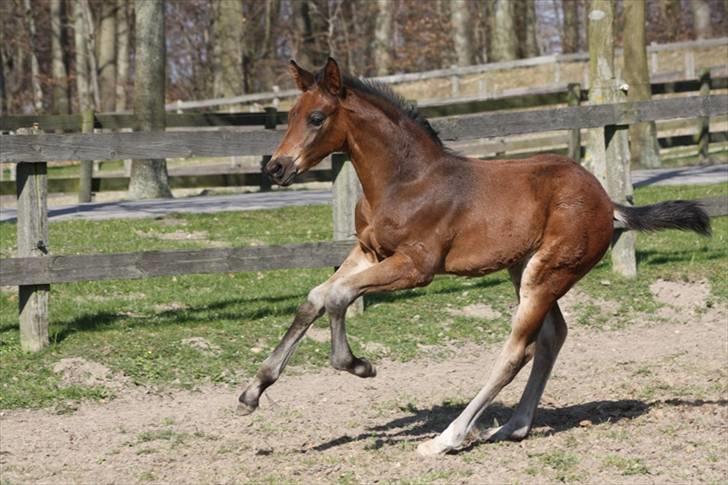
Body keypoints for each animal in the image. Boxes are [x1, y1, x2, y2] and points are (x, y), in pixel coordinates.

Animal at [239, 58, 712, 456]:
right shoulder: (369, 251)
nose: (276, 168)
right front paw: (253, 391)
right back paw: (514, 426)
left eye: (317, 117)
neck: (405, 181)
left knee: (517, 351)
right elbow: (317, 297)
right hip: (527, 270)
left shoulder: (416, 267)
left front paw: (357, 365)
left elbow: (338, 297)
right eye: (290, 115)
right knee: (552, 336)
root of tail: (608, 202)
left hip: (548, 274)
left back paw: (445, 439)